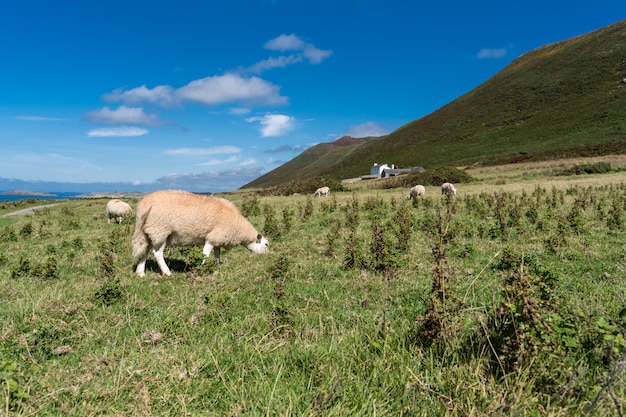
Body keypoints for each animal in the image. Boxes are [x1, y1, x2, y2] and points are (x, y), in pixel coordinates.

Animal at [132, 189, 268, 276]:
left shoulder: (217, 239)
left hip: (147, 232)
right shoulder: (211, 238)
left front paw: (217, 266)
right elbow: (205, 255)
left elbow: (217, 254)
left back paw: (140, 273)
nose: (269, 256)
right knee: (157, 253)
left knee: (144, 251)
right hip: (160, 230)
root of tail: (143, 206)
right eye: (266, 245)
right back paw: (167, 272)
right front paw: (201, 268)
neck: (239, 227)